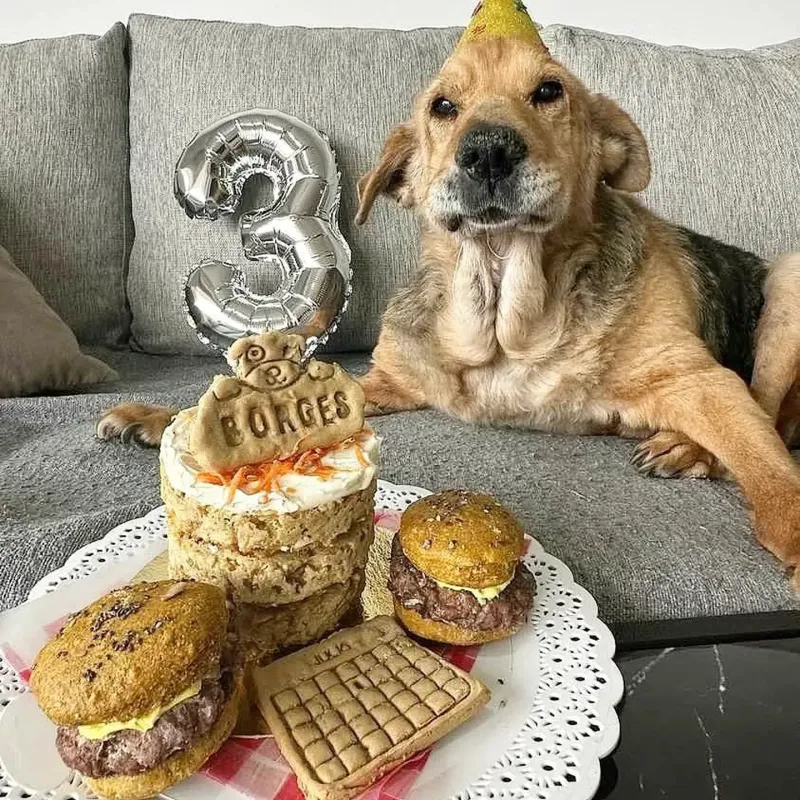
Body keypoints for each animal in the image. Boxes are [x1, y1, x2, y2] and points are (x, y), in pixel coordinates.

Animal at [100, 34, 800, 580]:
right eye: (443, 106)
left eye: (549, 91)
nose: (488, 149)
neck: (503, 308)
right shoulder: (388, 382)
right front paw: (157, 417)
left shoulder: (699, 379)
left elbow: (769, 467)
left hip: (787, 280)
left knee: (769, 413)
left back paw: (688, 448)